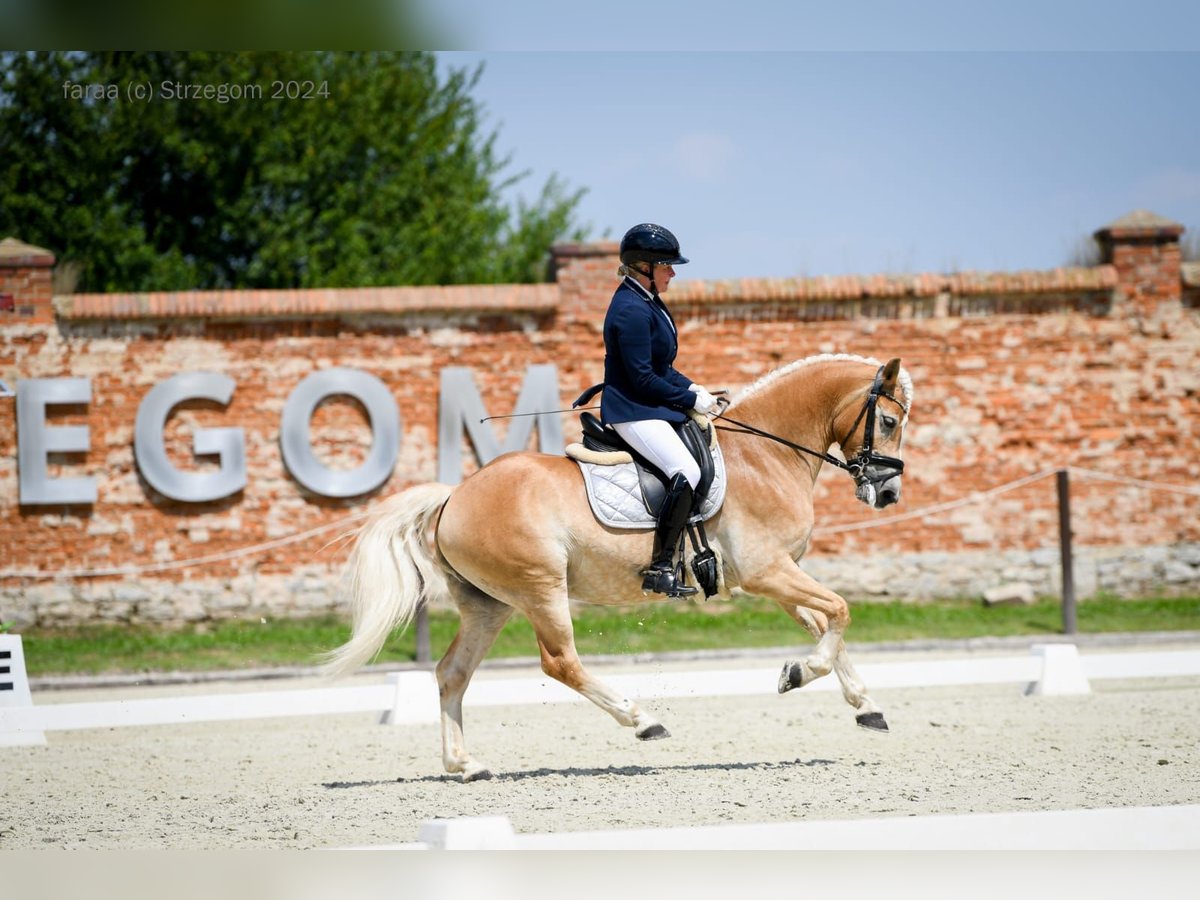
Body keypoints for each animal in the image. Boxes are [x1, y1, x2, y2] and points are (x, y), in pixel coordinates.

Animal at [324, 352, 912, 782]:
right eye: (887, 420)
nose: (887, 495)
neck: (765, 457)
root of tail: (453, 496)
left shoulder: (781, 573)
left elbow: (826, 624)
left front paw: (863, 705)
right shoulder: (765, 571)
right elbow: (841, 611)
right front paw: (798, 674)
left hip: (489, 605)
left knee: (453, 673)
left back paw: (464, 765)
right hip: (541, 589)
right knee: (561, 663)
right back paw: (643, 720)